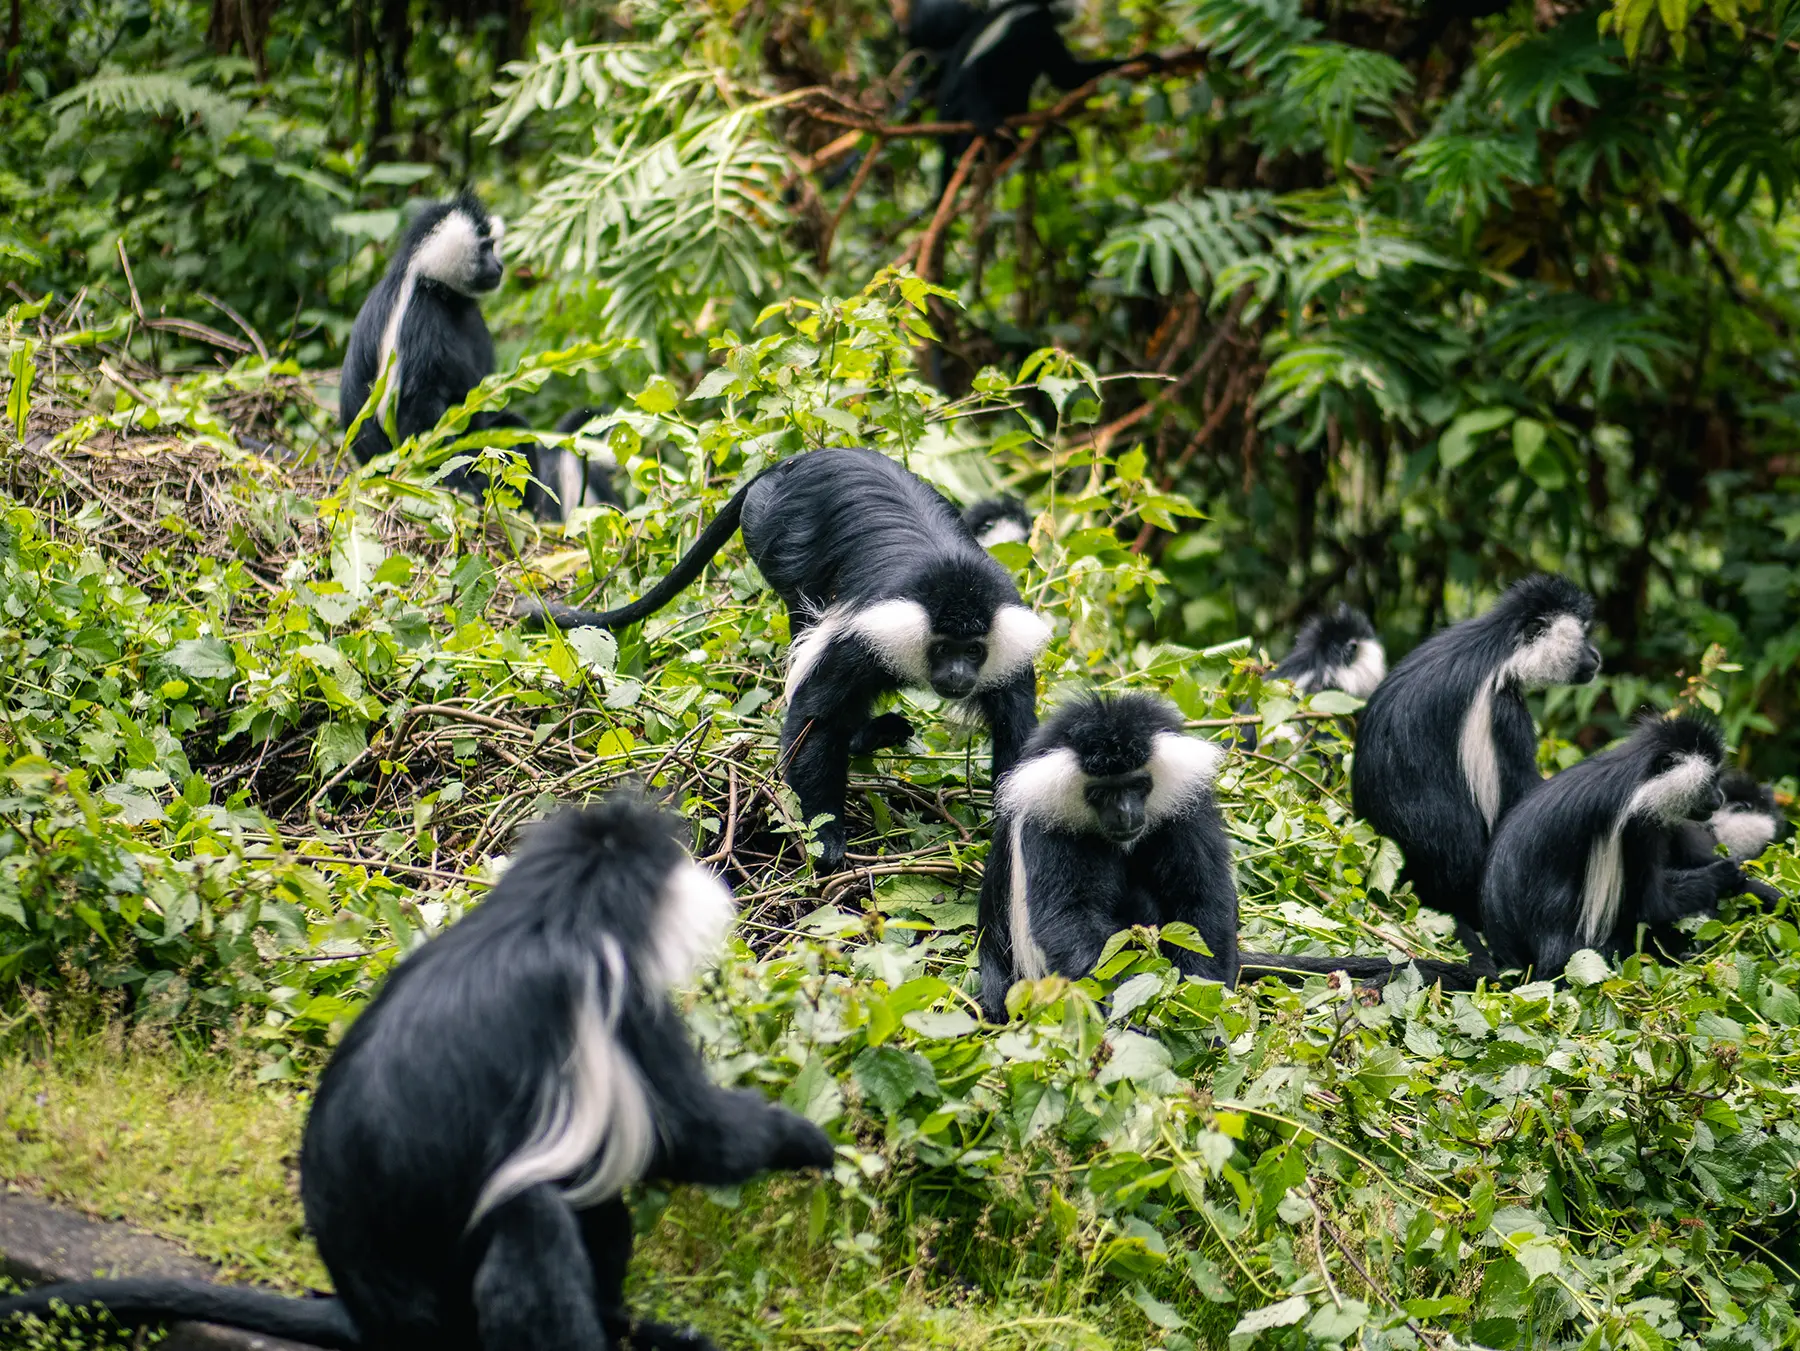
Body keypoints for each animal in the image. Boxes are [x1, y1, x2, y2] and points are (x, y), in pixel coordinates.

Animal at [0, 796, 834, 1350]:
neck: (543, 913)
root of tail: (370, 1315)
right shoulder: (615, 994)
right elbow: (691, 1136)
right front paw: (809, 1140)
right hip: (450, 1303)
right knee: (535, 1217)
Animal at [340, 191, 619, 522]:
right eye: (485, 248)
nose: (499, 265)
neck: (437, 288)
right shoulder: (416, 320)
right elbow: (417, 408)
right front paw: (458, 489)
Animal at [515, 448, 1052, 873]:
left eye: (973, 650)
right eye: (943, 648)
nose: (959, 675)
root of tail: (797, 463)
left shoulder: (1011, 654)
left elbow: (1017, 737)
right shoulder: (866, 635)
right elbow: (817, 715)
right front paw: (826, 837)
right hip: (772, 532)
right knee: (802, 612)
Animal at [976, 693, 1479, 1021]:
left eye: (1138, 786)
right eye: (1100, 794)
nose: (1126, 815)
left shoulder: (1186, 805)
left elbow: (1202, 898)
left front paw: (1195, 1004)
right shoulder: (1049, 822)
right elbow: (1069, 917)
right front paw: (1131, 1009)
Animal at [1481, 714, 1779, 976]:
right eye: (1711, 780)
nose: (1718, 800)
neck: (1641, 782)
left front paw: (1764, 891)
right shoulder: (1633, 826)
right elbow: (1651, 905)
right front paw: (1725, 873)